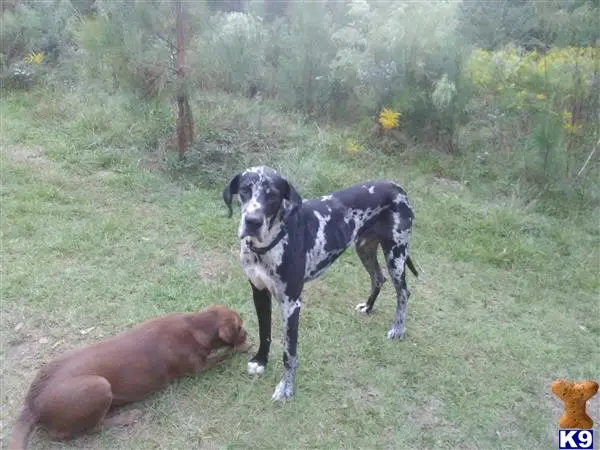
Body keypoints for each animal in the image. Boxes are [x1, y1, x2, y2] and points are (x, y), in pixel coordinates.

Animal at [9, 304, 248, 448]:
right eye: (240, 326)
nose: (248, 333)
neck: (196, 324)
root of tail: (31, 404)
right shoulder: (198, 367)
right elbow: (225, 354)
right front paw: (244, 347)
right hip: (99, 386)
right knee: (87, 428)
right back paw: (128, 416)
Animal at [221, 165, 418, 400]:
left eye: (273, 195)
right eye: (244, 190)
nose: (253, 221)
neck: (268, 245)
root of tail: (397, 187)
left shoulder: (291, 304)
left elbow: (289, 353)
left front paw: (286, 389)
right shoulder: (259, 291)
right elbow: (264, 332)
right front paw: (261, 361)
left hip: (395, 254)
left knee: (403, 292)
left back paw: (398, 329)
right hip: (365, 248)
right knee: (378, 278)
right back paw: (368, 307)